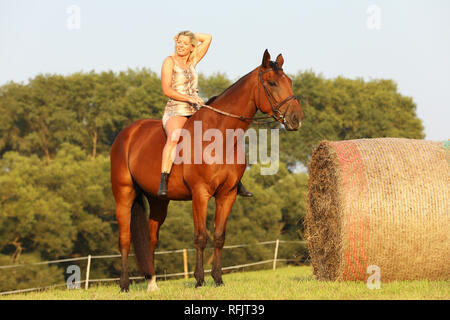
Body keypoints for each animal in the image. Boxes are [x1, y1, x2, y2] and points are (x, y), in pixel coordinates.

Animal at [110, 48, 304, 292]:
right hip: (124, 195)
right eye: (272, 83)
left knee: (151, 238)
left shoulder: (227, 195)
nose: (296, 119)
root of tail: (127, 133)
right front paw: (199, 280)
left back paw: (152, 283)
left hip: (158, 201)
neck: (219, 137)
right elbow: (200, 237)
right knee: (125, 238)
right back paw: (124, 284)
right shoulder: (200, 194)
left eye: (290, 81)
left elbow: (219, 236)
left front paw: (218, 279)